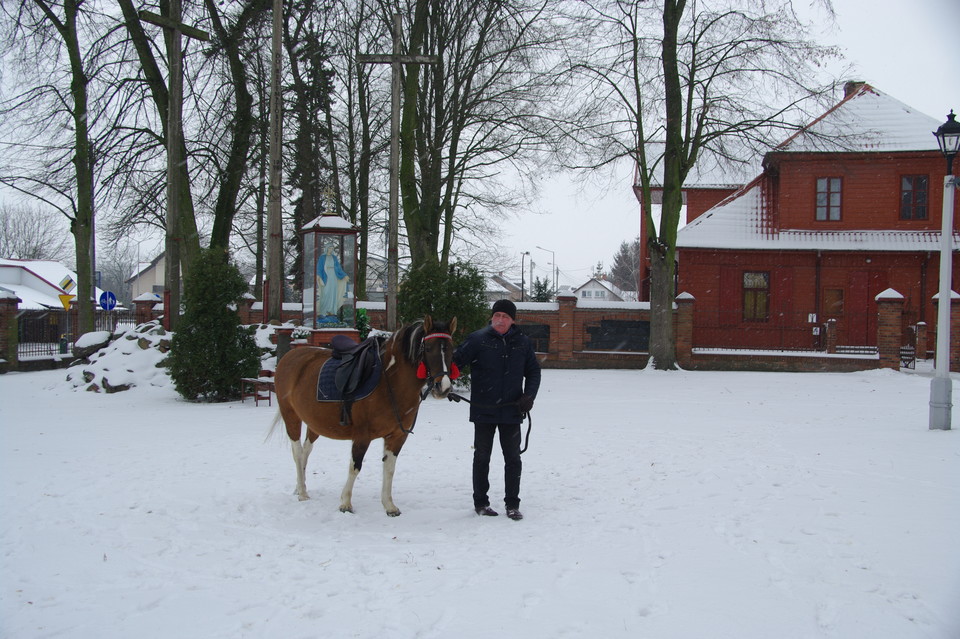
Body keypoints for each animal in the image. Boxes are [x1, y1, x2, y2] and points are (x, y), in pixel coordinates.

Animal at [274, 318, 458, 516]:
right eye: (428, 348)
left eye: (451, 349)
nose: (443, 387)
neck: (389, 382)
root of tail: (290, 355)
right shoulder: (362, 436)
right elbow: (355, 466)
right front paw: (345, 503)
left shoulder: (397, 436)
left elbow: (389, 469)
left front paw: (389, 505)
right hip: (291, 416)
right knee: (297, 453)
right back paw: (302, 492)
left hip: (314, 424)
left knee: (305, 452)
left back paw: (300, 486)